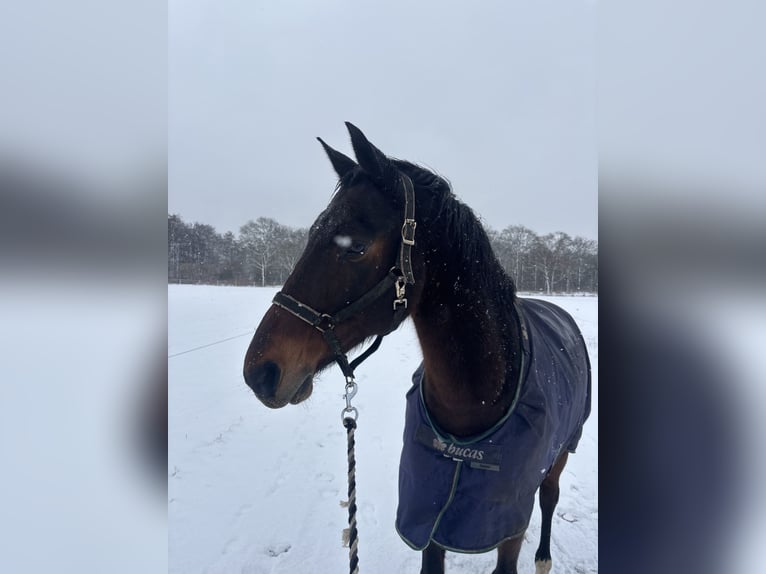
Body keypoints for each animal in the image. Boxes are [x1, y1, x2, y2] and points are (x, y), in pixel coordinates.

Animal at [243, 123, 591, 574]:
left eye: (355, 245)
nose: (260, 372)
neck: (472, 408)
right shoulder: (428, 521)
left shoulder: (508, 528)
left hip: (562, 452)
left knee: (549, 497)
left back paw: (544, 557)